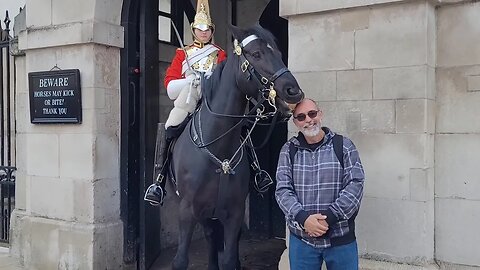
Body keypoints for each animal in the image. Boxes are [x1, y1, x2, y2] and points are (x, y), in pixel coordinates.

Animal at [170, 23, 304, 270]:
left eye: (280, 54)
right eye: (257, 54)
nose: (294, 92)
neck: (218, 148)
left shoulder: (234, 212)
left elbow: (230, 259)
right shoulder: (187, 211)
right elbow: (181, 260)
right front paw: (195, 79)